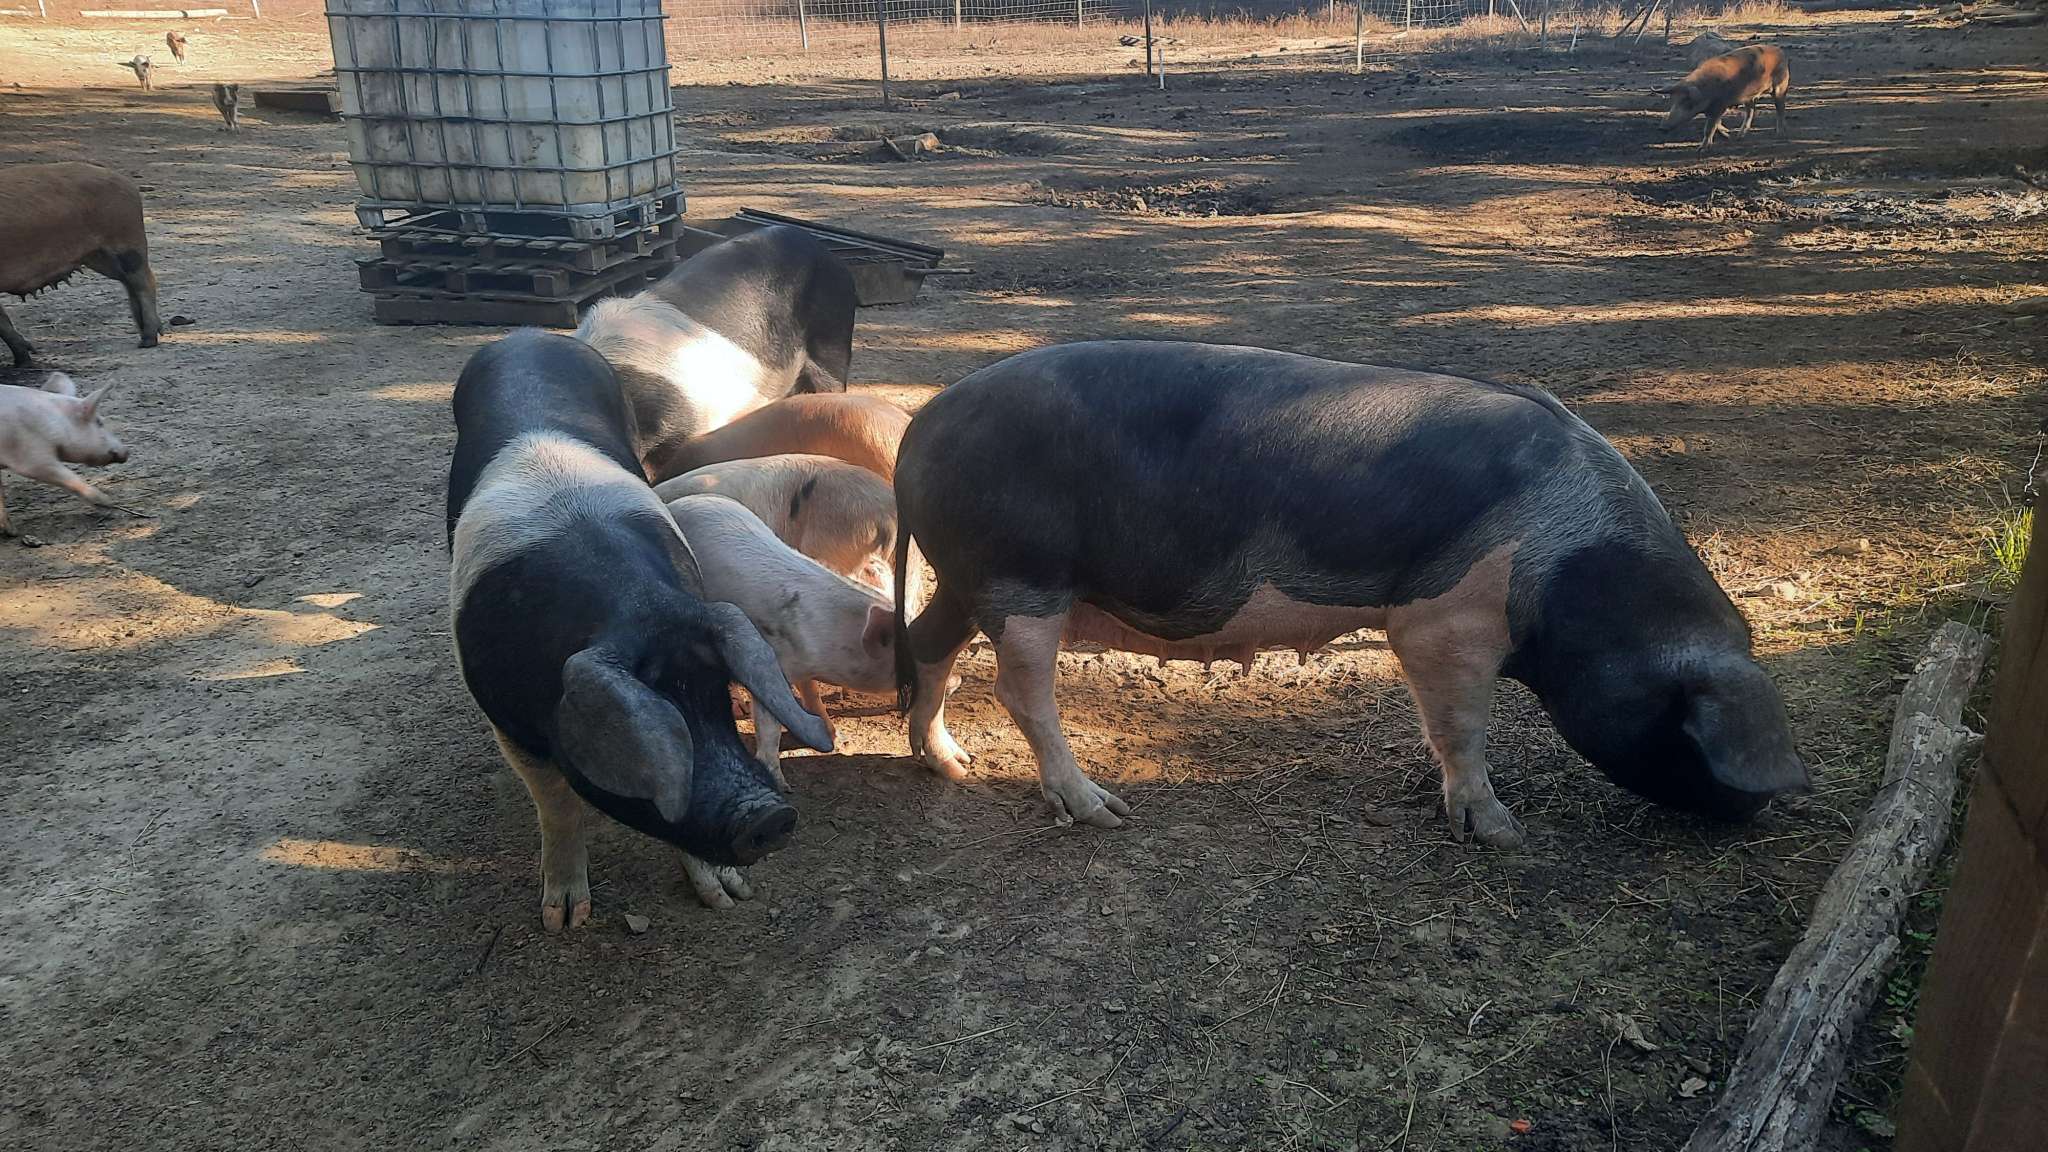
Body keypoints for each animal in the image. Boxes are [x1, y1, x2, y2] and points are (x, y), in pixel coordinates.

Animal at [0, 162, 162, 367]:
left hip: (127, 241)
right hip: (98, 257)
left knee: (144, 281)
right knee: (129, 282)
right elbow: (2, 321)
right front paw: (23, 361)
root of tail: (126, 182)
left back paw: (147, 341)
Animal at [0, 376, 131, 536]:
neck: (53, 424)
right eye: (99, 422)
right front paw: (108, 502)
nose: (127, 451)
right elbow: (65, 474)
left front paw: (11, 532)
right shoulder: (29, 452)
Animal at [448, 330, 834, 926]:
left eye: (718, 693)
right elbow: (557, 804)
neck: (632, 605)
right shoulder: (506, 719)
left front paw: (728, 896)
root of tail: (526, 336)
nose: (769, 816)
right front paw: (563, 920)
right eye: (661, 713)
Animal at [892, 341, 1807, 843]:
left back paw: (953, 766)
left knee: (931, 643)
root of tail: (919, 428)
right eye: (1686, 730)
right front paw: (1502, 835)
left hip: (969, 577)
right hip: (1022, 578)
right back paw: (1104, 811)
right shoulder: (1442, 620)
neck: (1577, 574)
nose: (1769, 805)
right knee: (1021, 691)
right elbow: (1462, 725)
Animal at [1660, 44, 1789, 151]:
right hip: (1749, 97)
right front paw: (1727, 135)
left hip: (1780, 87)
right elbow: (1716, 124)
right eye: (1673, 101)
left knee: (1780, 109)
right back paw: (1739, 136)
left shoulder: (1720, 105)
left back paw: (1780, 135)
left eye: (1687, 102)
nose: (1664, 128)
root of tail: (1779, 51)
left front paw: (1701, 149)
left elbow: (1709, 128)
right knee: (1750, 111)